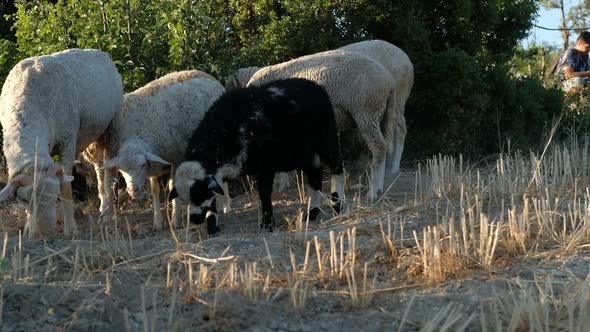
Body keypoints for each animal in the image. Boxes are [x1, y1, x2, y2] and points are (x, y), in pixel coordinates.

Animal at [0, 48, 123, 237]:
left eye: (53, 197)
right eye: (24, 201)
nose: (43, 233)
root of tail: (101, 53)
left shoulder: (68, 141)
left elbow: (66, 188)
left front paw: (70, 228)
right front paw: (28, 228)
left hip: (111, 125)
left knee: (109, 170)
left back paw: (108, 214)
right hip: (92, 138)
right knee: (99, 168)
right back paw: (102, 205)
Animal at [170, 78, 346, 235]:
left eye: (200, 193)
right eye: (184, 198)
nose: (194, 219)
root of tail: (316, 86)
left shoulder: (266, 166)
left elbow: (264, 193)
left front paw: (267, 224)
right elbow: (213, 202)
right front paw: (212, 227)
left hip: (326, 140)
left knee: (337, 168)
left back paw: (338, 206)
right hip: (304, 153)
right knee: (315, 177)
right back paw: (312, 212)